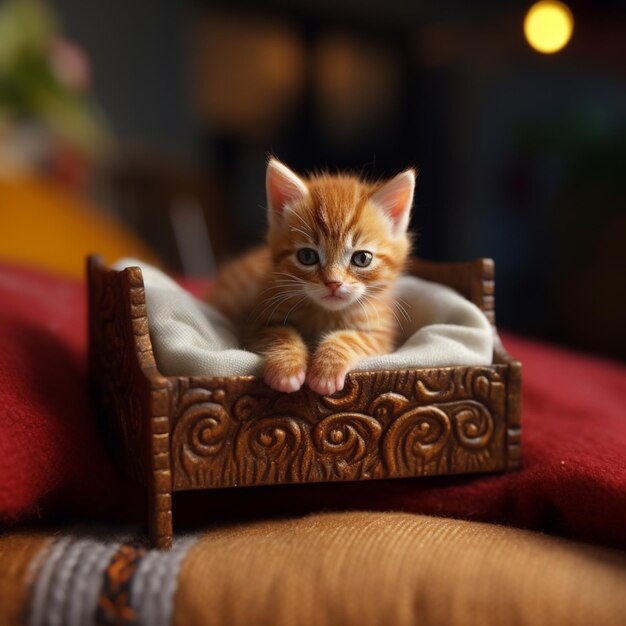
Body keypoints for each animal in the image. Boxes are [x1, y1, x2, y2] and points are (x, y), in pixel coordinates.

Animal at [208, 158, 414, 392]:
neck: (325, 314)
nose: (333, 283)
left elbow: (351, 339)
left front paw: (326, 370)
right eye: (307, 256)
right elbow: (281, 334)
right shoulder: (259, 320)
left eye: (362, 259)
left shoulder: (380, 334)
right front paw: (287, 369)